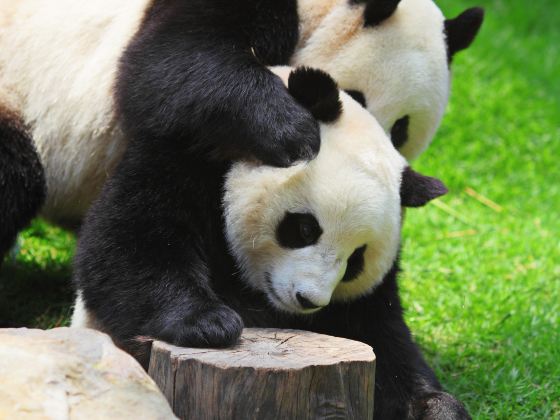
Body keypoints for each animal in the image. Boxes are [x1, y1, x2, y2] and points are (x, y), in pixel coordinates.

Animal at [71, 66, 468, 420]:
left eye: (356, 259)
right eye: (306, 229)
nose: (308, 300)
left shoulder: (366, 298)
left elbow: (384, 339)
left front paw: (437, 409)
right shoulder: (189, 154)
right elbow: (128, 243)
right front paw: (208, 323)